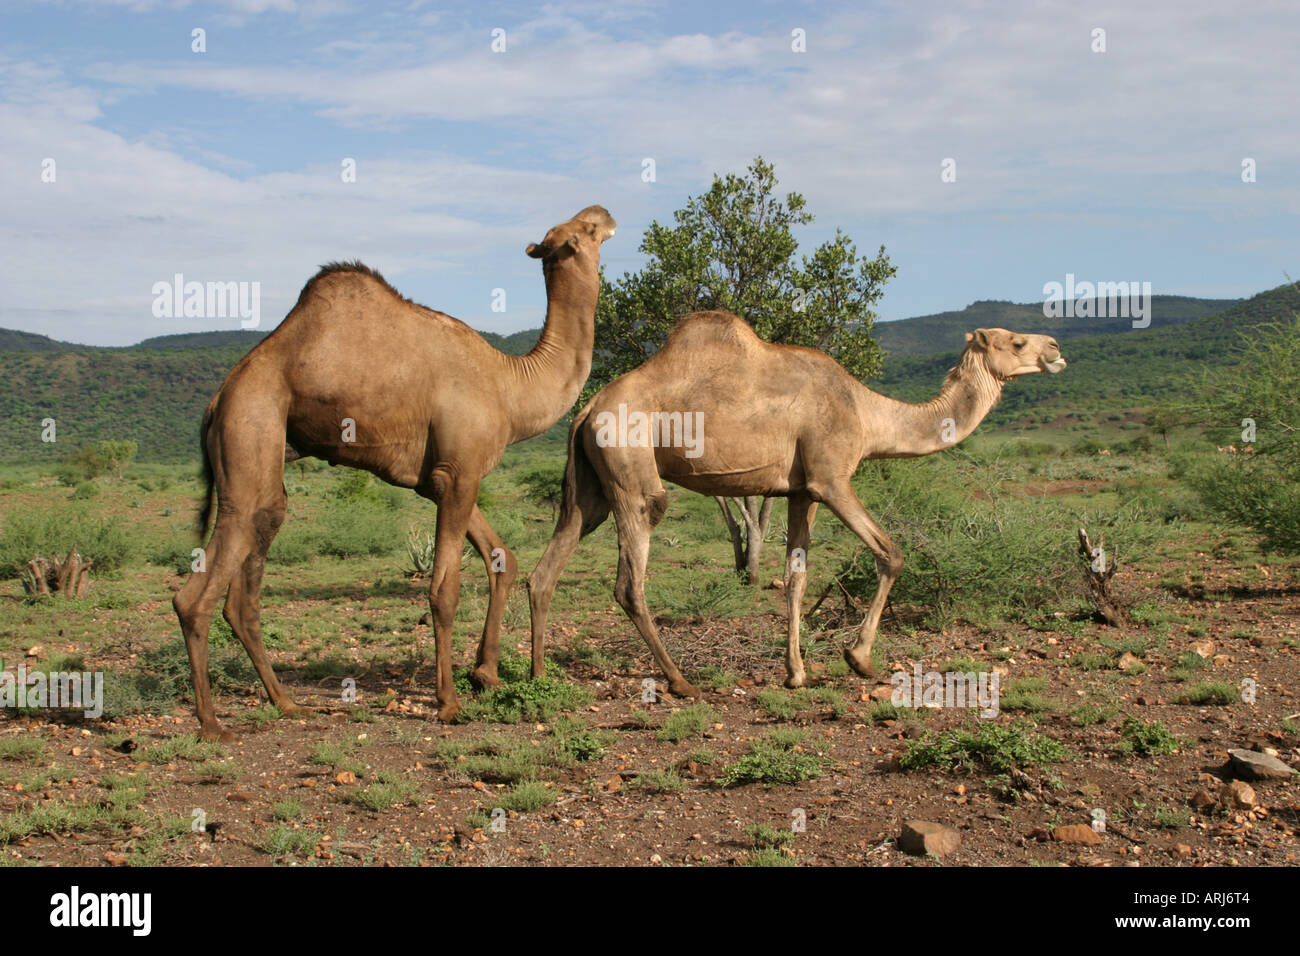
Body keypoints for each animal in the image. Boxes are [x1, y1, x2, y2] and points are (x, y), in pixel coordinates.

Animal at [174, 205, 616, 741]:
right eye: (586, 230)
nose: (605, 213)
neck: (509, 387)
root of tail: (218, 400)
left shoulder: (442, 480)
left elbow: (501, 558)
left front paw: (485, 673)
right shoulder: (458, 472)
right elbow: (443, 589)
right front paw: (448, 702)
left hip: (266, 460)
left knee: (246, 586)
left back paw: (287, 703)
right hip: (249, 429)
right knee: (195, 594)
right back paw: (211, 724)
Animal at [527, 312, 1066, 694]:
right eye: (1015, 342)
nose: (1056, 349)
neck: (867, 413)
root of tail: (588, 410)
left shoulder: (800, 491)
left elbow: (795, 578)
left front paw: (797, 673)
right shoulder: (831, 477)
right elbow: (891, 554)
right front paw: (859, 659)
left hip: (592, 485)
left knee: (550, 564)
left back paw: (536, 675)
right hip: (632, 468)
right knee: (631, 576)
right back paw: (681, 682)